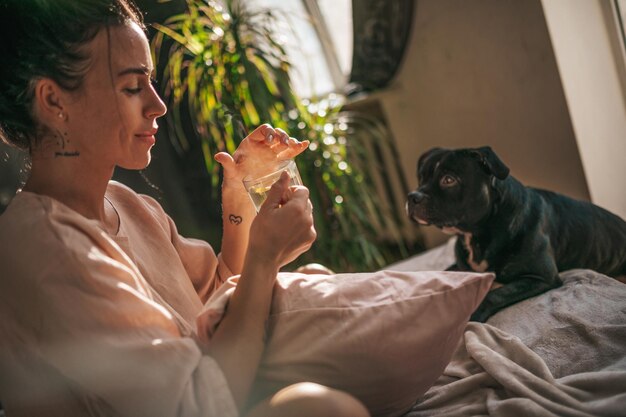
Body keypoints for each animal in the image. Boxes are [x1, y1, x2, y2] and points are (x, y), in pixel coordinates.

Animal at [404, 146, 624, 322]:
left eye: (448, 180)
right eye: (421, 178)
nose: (412, 196)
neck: (477, 234)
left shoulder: (540, 276)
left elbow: (496, 294)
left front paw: (471, 314)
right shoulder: (461, 267)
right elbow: (439, 275)